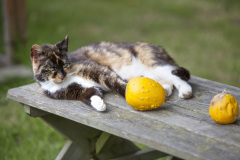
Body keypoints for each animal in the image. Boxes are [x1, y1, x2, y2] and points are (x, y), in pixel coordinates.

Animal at [30, 35, 191, 111]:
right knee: (166, 82)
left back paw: (185, 91)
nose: (62, 75)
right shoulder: (74, 91)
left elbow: (117, 84)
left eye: (65, 64)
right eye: (51, 68)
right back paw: (164, 89)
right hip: (146, 74)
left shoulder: (99, 71)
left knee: (174, 75)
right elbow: (87, 95)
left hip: (153, 62)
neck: (66, 80)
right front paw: (99, 104)